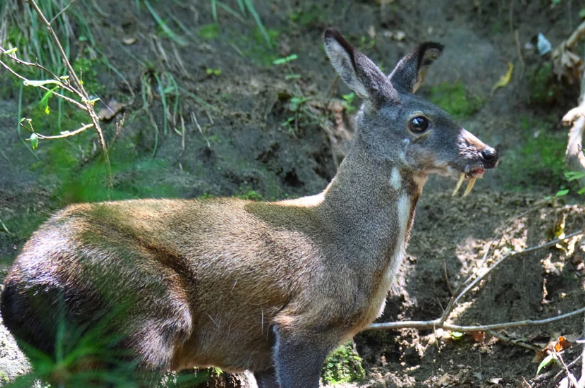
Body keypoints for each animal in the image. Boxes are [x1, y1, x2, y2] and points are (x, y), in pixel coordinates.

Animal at [0, 28, 498, 388]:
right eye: (420, 122)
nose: (488, 153)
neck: (352, 247)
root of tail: (18, 285)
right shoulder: (302, 325)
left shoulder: (261, 353)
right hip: (143, 314)